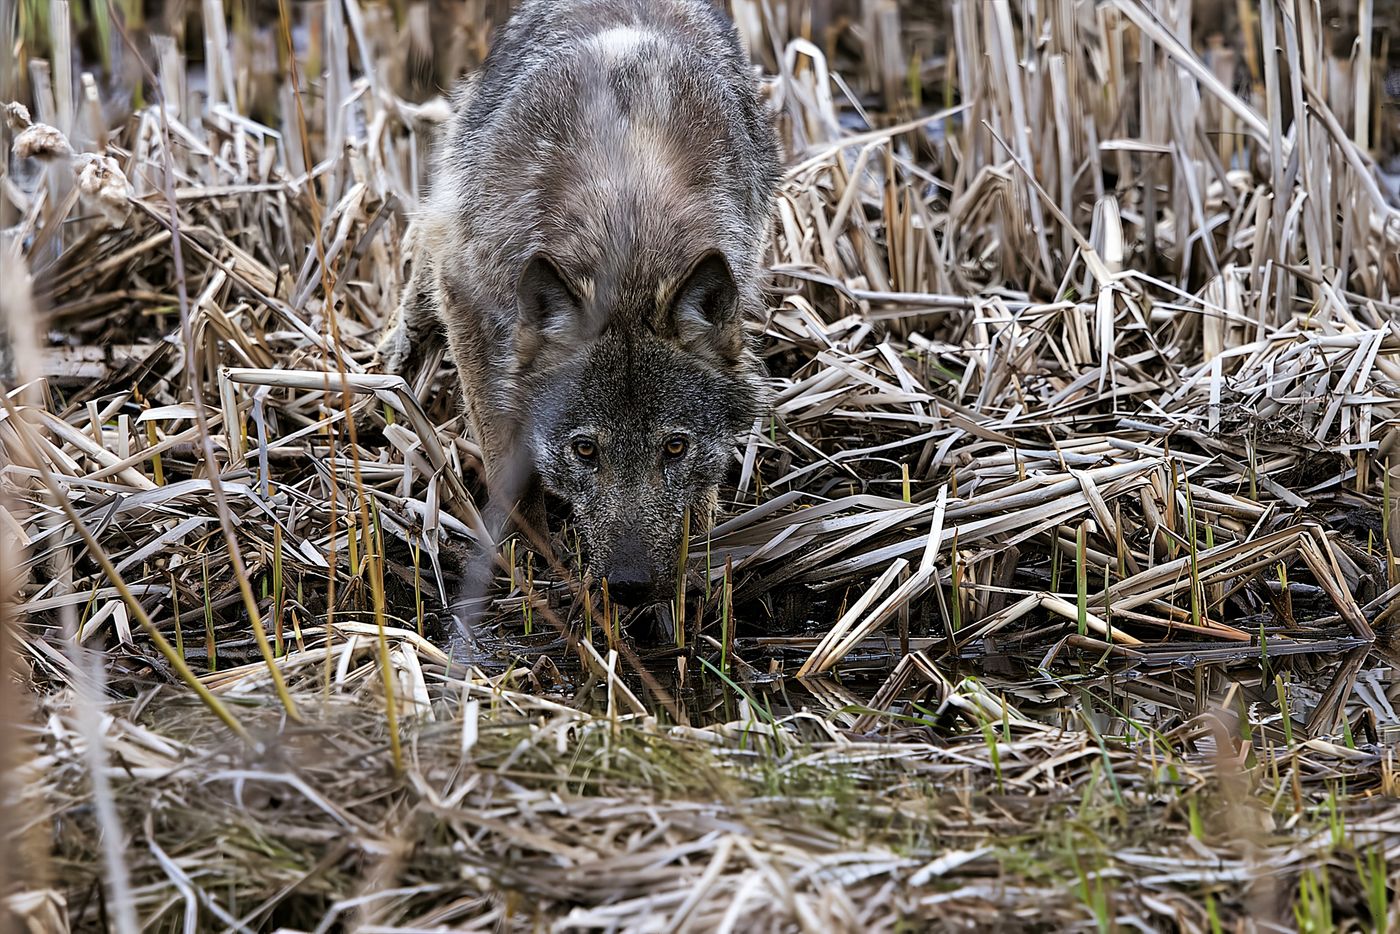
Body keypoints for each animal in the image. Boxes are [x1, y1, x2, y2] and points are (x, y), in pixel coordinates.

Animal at [379, 0, 781, 608]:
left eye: (675, 447)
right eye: (585, 449)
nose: (631, 586)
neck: (628, 233)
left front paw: (695, 554)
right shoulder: (469, 299)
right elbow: (505, 456)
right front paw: (529, 554)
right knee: (426, 238)